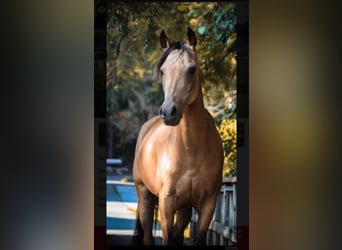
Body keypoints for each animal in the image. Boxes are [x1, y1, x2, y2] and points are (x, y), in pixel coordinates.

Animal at [132, 27, 224, 246]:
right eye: (163, 70)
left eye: (191, 69)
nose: (168, 112)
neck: (190, 149)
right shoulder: (167, 203)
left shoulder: (207, 204)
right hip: (146, 197)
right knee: (148, 236)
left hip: (184, 208)